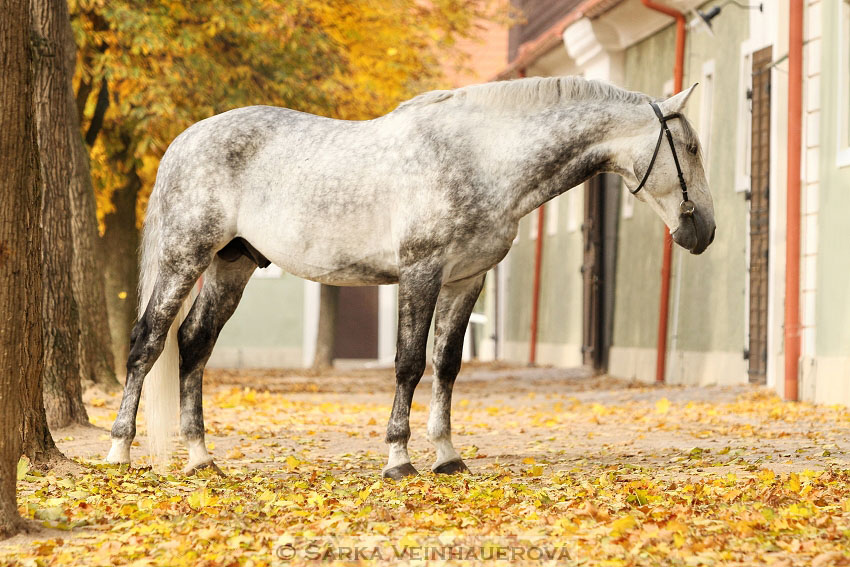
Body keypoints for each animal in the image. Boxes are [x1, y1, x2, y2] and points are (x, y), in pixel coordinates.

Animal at [107, 75, 716, 480]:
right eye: (689, 148)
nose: (704, 231)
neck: (482, 158)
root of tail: (185, 141)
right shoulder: (421, 273)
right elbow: (408, 364)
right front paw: (399, 460)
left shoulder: (467, 280)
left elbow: (447, 365)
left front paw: (447, 456)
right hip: (183, 258)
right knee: (148, 343)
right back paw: (120, 451)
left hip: (230, 265)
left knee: (194, 346)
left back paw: (200, 458)